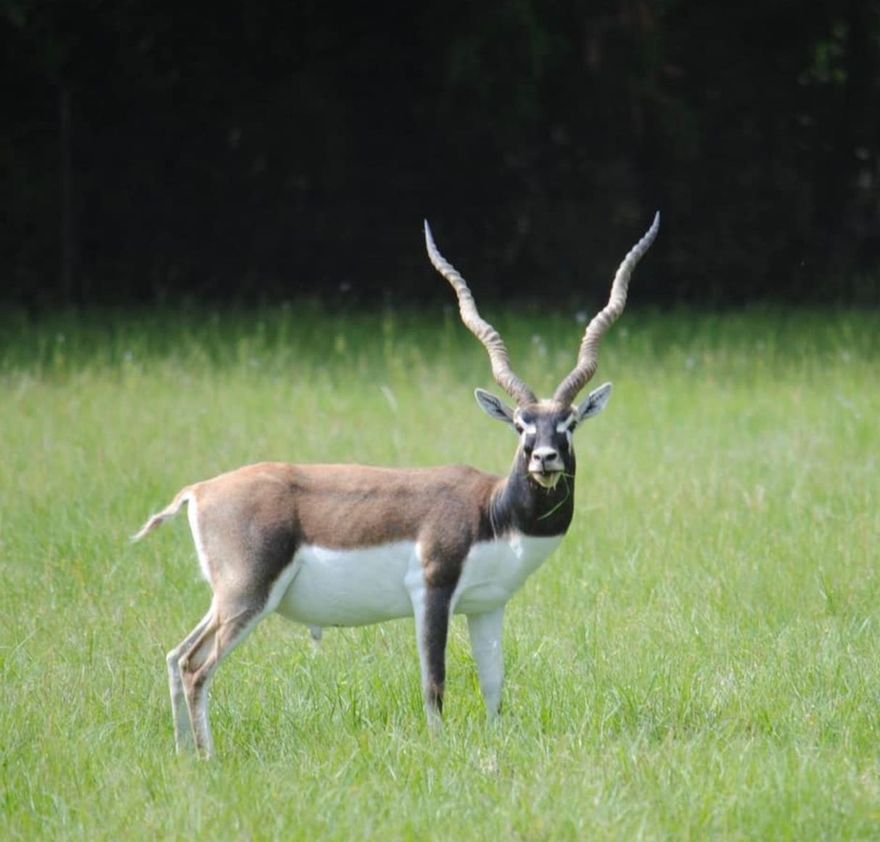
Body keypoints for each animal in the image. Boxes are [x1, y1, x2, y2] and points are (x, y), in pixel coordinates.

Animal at [133, 213, 659, 757]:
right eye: (520, 425)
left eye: (569, 423)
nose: (545, 458)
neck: (494, 512)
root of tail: (200, 490)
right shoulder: (432, 590)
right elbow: (435, 683)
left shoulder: (488, 605)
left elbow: (494, 686)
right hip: (248, 595)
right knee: (196, 669)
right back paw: (209, 758)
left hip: (227, 599)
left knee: (175, 657)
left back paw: (183, 755)